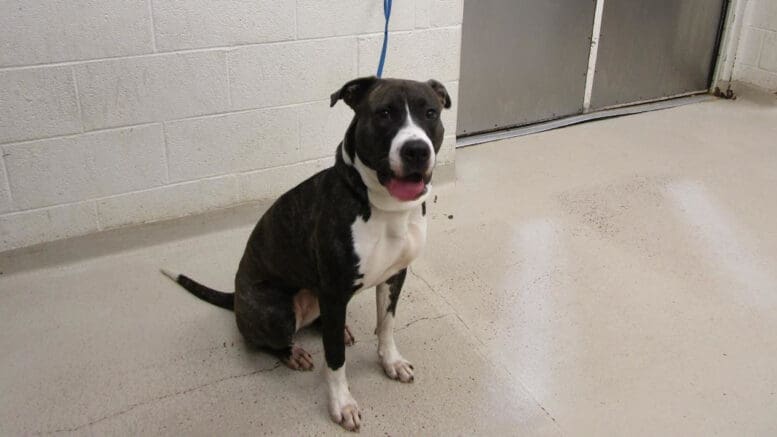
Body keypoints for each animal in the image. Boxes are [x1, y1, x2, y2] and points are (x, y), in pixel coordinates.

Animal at [161, 76, 452, 430]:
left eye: (430, 113)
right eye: (384, 113)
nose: (416, 150)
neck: (384, 207)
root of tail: (236, 298)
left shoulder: (394, 276)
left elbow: (386, 325)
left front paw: (391, 361)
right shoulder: (334, 292)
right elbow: (335, 358)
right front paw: (342, 403)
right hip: (278, 312)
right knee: (265, 340)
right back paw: (292, 352)